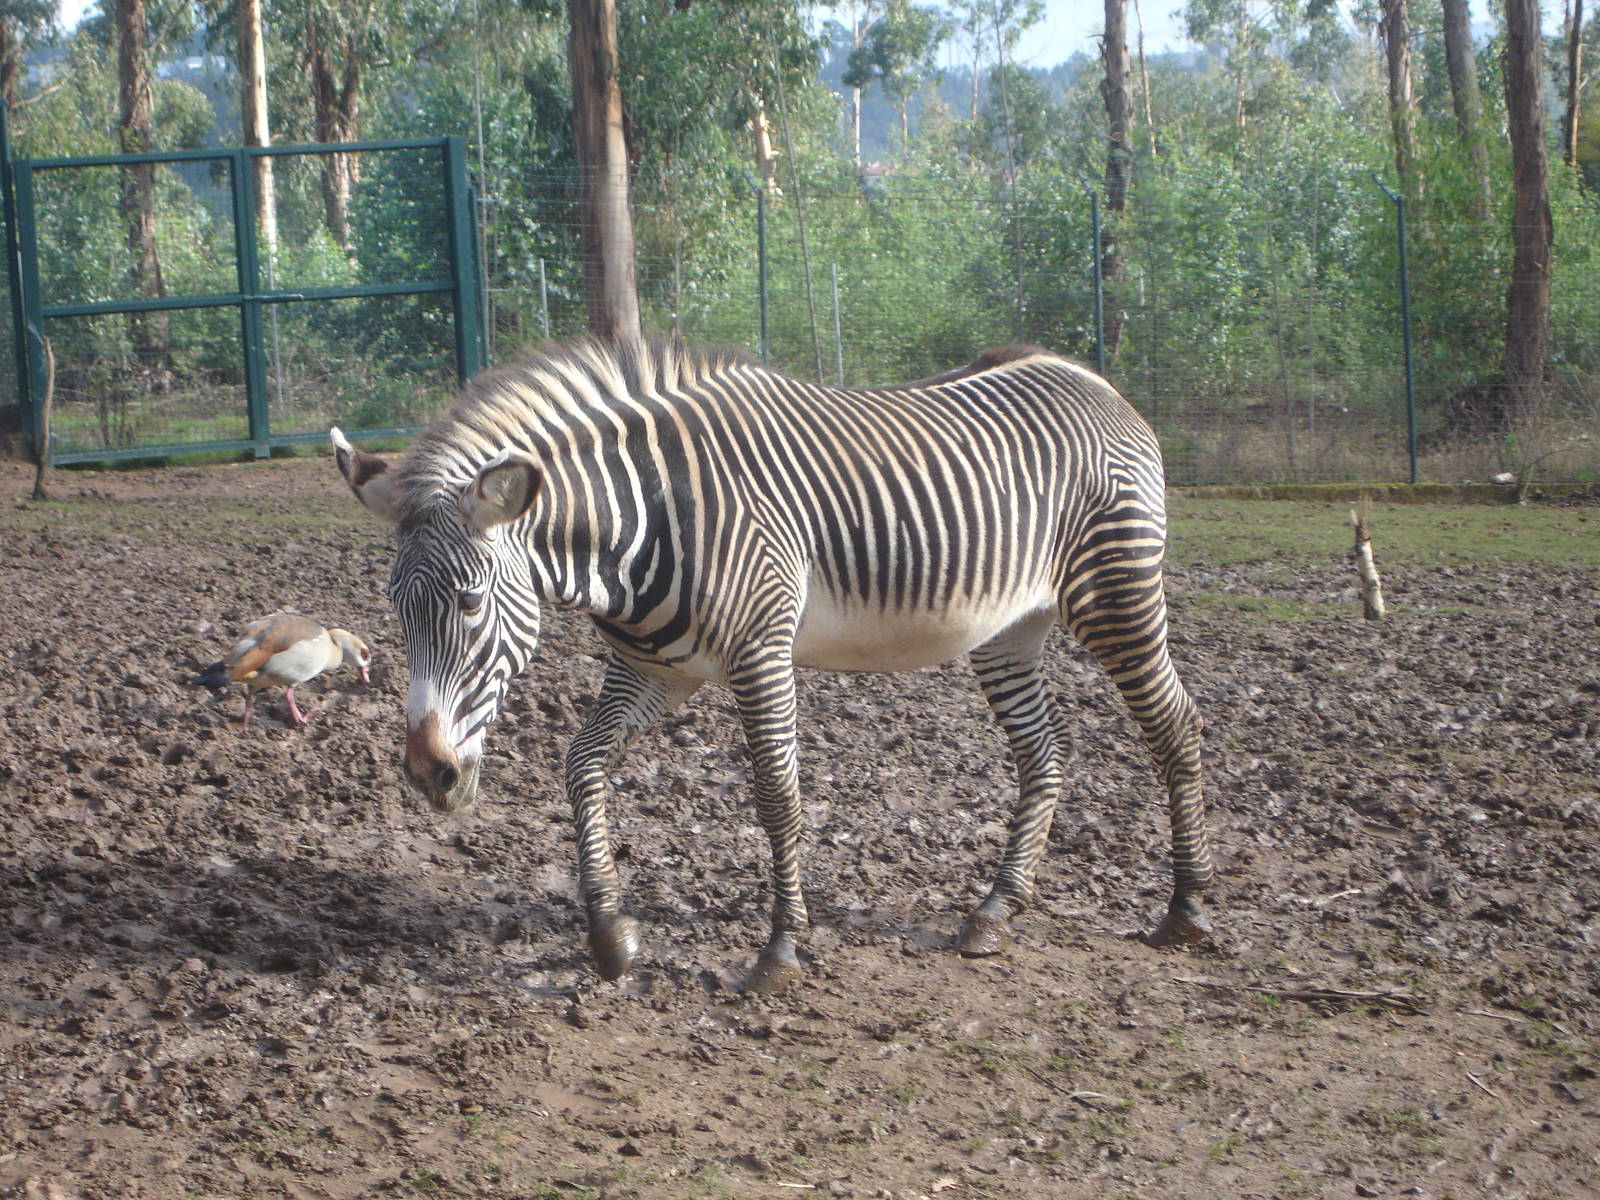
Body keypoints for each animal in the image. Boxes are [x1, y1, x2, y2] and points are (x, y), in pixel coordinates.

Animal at [331, 337, 1215, 992]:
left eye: (470, 602)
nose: (429, 774)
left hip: (1116, 593)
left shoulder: (761, 650)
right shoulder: (657, 669)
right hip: (1011, 626)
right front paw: (610, 934)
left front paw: (780, 950)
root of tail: (1086, 375)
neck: (643, 521)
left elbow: (776, 796)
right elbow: (581, 764)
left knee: (1176, 726)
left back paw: (1187, 910)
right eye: (394, 605)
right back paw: (995, 910)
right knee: (1044, 750)